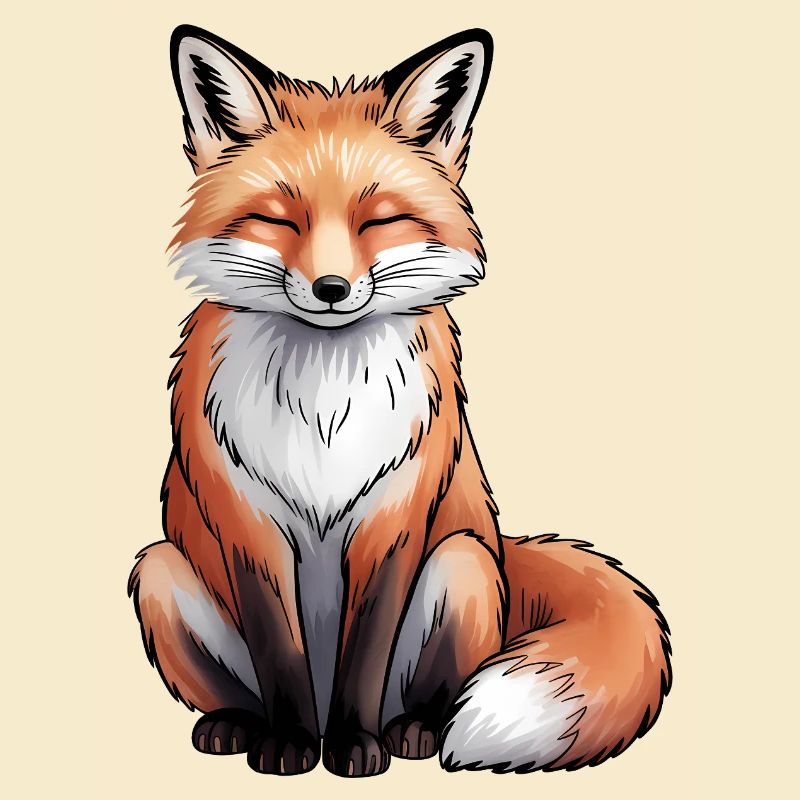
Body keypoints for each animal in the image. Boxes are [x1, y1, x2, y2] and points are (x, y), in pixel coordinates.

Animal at [128, 25, 672, 778]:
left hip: (463, 564)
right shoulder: (248, 525)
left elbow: (366, 650)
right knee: (237, 687)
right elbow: (279, 649)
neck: (324, 410)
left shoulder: (393, 518)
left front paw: (354, 747)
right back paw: (238, 725)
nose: (330, 288)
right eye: (276, 219)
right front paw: (291, 746)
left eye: (379, 221)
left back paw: (409, 733)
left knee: (431, 696)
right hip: (158, 570)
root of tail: (504, 547)